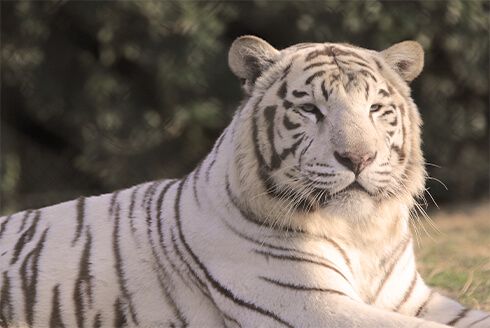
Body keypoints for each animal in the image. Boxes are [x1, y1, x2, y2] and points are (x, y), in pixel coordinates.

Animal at [0, 34, 488, 326]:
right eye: (310, 109)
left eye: (375, 109)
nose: (358, 158)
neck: (362, 233)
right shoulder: (313, 306)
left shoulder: (413, 298)